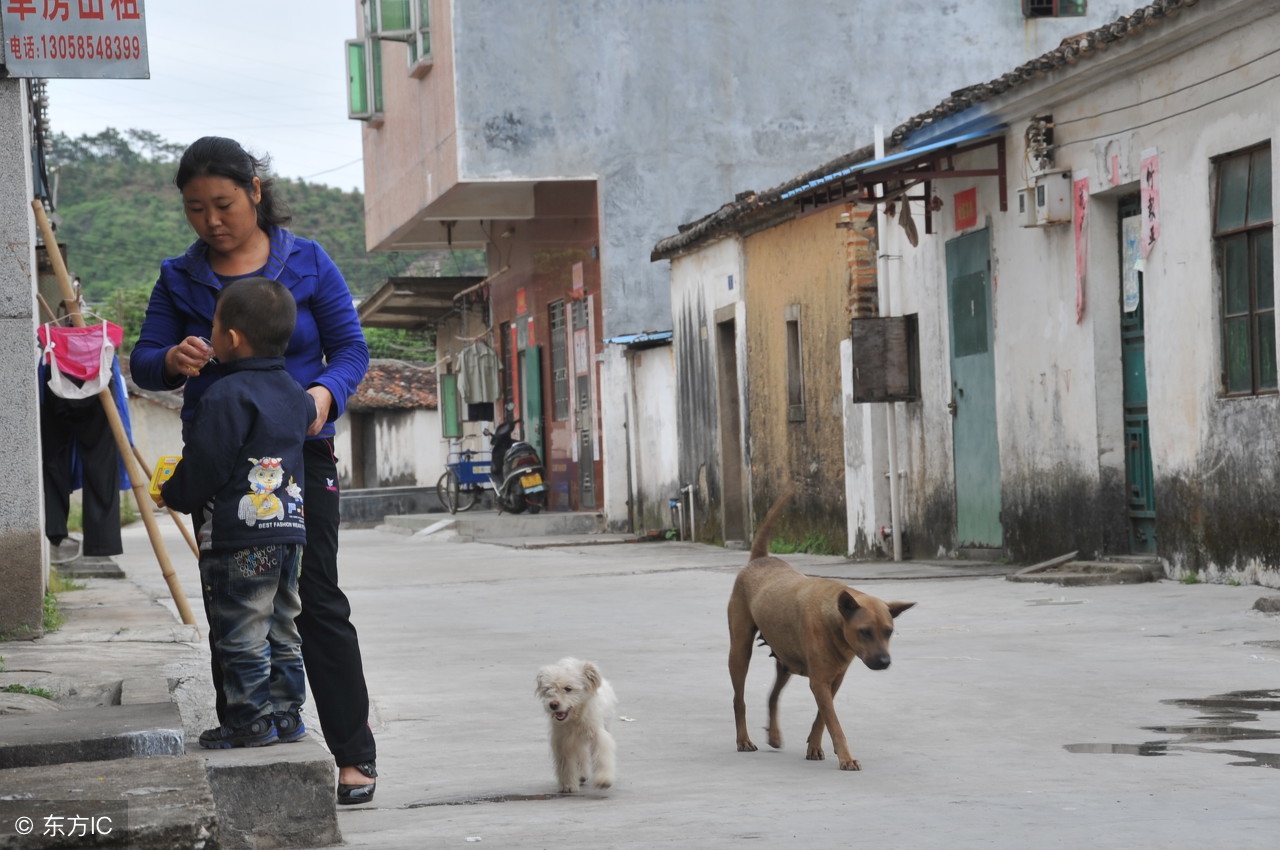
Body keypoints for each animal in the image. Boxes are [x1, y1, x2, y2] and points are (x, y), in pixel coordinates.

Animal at [532, 655, 616, 788]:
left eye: (568, 688)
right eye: (548, 689)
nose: (553, 705)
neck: (576, 718)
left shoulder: (598, 735)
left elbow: (602, 756)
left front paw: (604, 778)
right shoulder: (563, 741)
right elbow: (566, 764)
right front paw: (568, 785)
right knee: (582, 756)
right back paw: (581, 775)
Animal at [727, 491, 916, 768]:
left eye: (889, 631)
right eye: (865, 631)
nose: (884, 662)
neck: (836, 622)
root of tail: (761, 559)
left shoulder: (832, 681)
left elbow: (822, 718)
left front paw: (815, 745)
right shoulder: (820, 682)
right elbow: (834, 722)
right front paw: (846, 757)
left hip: (786, 659)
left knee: (773, 695)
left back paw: (774, 734)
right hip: (740, 651)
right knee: (738, 698)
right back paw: (742, 739)